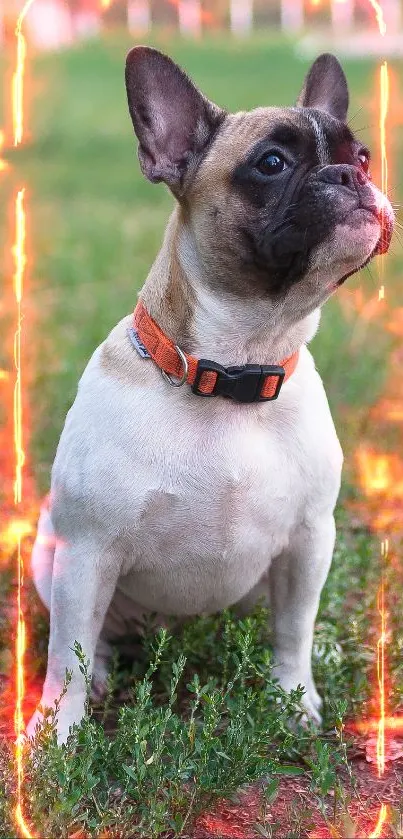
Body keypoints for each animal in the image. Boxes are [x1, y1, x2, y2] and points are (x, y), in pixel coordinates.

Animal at [27, 47, 394, 740]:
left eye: (362, 156)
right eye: (271, 163)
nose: (350, 175)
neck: (236, 368)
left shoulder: (310, 539)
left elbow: (292, 629)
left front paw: (293, 699)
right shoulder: (86, 551)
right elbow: (67, 652)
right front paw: (57, 733)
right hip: (49, 556)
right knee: (94, 638)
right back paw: (104, 673)